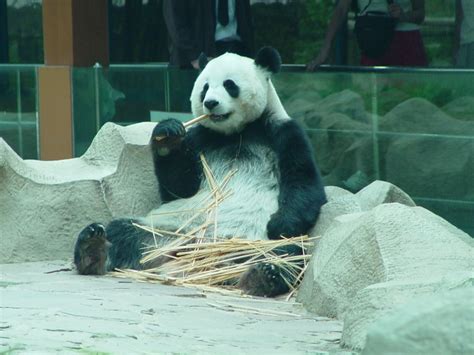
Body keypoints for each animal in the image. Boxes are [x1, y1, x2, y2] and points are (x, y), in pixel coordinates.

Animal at [74, 47, 328, 298]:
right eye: (204, 87)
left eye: (229, 85)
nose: (211, 103)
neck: (236, 133)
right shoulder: (200, 139)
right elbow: (179, 188)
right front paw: (167, 136)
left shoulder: (283, 132)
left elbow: (303, 183)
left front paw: (280, 224)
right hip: (171, 229)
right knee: (124, 231)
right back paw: (91, 249)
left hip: (253, 238)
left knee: (289, 253)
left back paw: (264, 275)